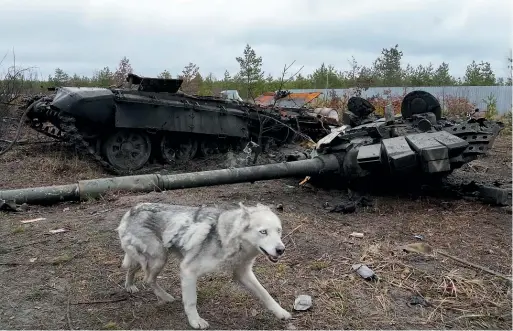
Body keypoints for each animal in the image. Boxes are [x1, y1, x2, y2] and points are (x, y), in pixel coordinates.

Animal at [117, 202, 292, 330]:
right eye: (263, 232)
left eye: (279, 231)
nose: (281, 250)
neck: (229, 238)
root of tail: (131, 211)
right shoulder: (188, 271)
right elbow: (191, 301)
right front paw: (195, 321)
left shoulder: (243, 274)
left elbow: (265, 293)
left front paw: (281, 312)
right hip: (159, 258)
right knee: (147, 279)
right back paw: (164, 297)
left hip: (152, 258)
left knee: (133, 269)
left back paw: (130, 286)